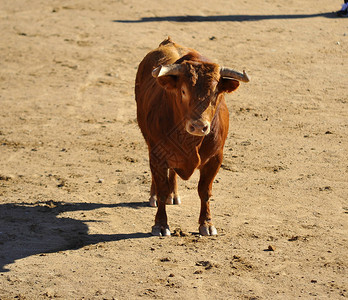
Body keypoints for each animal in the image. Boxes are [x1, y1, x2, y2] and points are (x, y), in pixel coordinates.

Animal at [135, 37, 249, 236]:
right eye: (183, 91)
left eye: (215, 93)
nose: (198, 126)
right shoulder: (157, 154)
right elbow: (162, 188)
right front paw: (160, 225)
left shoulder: (215, 158)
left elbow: (205, 191)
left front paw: (207, 224)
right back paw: (154, 196)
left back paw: (174, 194)